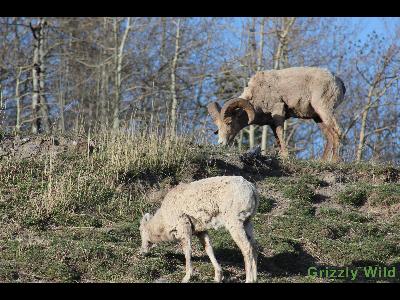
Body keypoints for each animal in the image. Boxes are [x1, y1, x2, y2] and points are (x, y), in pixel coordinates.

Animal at [208, 66, 346, 162]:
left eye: (229, 122)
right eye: (218, 127)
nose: (221, 143)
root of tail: (339, 82)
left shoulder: (278, 111)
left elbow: (280, 133)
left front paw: (285, 156)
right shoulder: (272, 123)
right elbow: (277, 138)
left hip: (324, 109)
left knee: (337, 132)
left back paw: (335, 161)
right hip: (318, 117)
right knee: (329, 136)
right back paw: (323, 161)